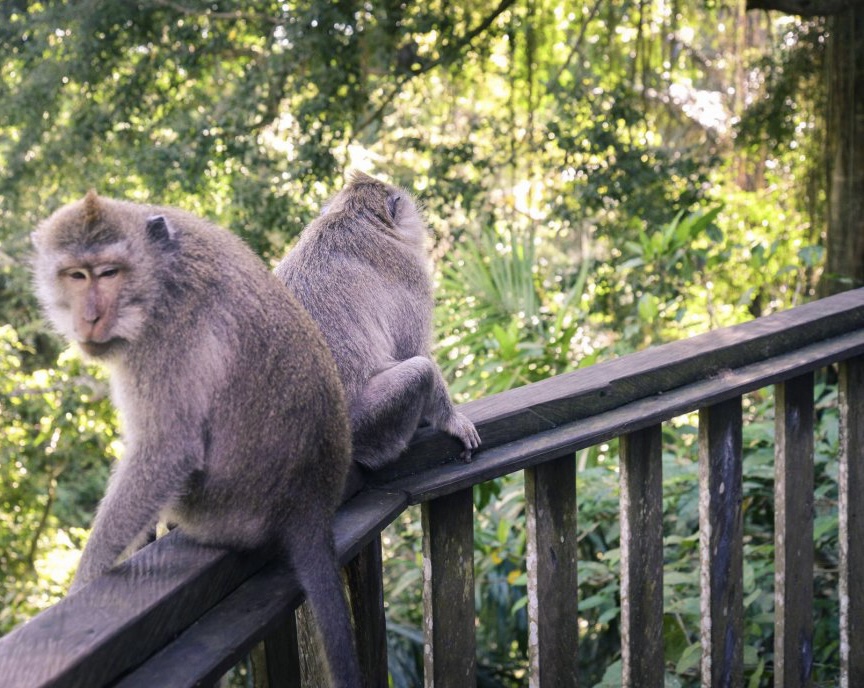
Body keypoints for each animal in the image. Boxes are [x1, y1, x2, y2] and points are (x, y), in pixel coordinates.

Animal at [30, 189, 362, 688]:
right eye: (75, 275)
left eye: (108, 273)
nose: (90, 317)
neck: (157, 273)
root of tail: (311, 502)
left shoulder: (163, 338)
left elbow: (166, 450)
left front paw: (83, 583)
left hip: (219, 514)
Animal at [276, 172, 482, 472]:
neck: (352, 216)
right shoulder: (410, 271)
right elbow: (415, 351)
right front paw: (452, 421)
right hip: (363, 424)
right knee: (420, 371)